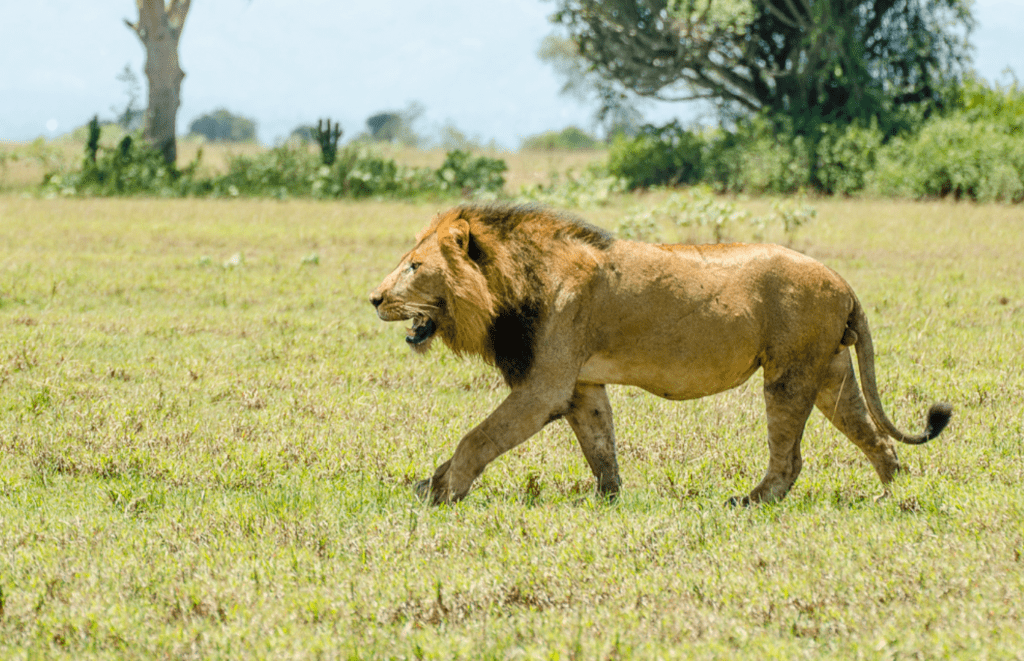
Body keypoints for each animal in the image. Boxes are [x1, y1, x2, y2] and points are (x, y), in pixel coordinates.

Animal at [369, 203, 952, 505]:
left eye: (415, 266)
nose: (374, 298)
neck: (513, 285)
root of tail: (844, 283)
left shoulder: (543, 387)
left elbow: (476, 438)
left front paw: (443, 493)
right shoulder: (580, 385)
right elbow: (600, 446)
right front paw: (609, 499)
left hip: (789, 373)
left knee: (790, 458)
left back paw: (750, 501)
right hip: (830, 373)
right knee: (875, 436)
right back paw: (896, 495)